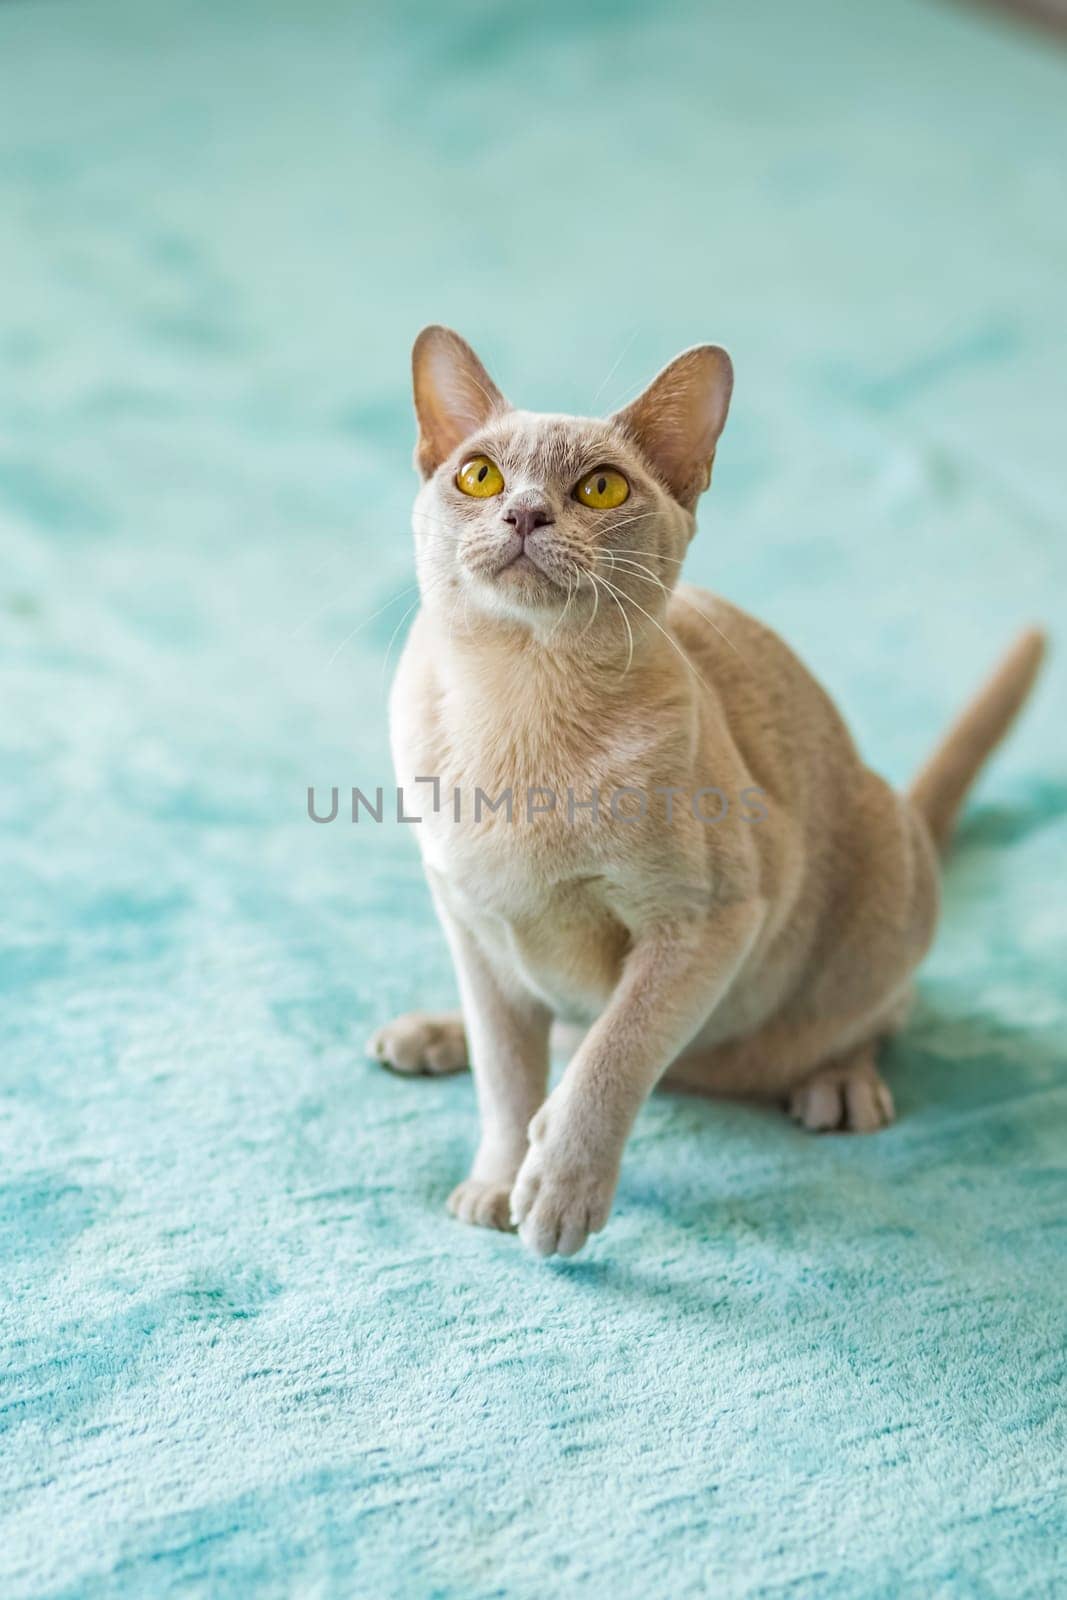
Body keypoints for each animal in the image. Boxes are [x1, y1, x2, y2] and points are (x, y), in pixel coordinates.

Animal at [367, 324, 1043, 1254]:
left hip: (878, 875)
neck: (518, 702)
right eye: (480, 476)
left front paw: (558, 1190)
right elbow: (507, 1072)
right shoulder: (471, 922)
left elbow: (614, 1054)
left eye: (600, 487)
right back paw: (430, 1035)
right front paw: (498, 1183)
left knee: (875, 1014)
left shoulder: (705, 923)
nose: (525, 513)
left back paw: (837, 1085)